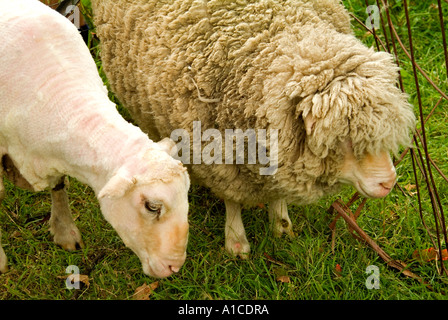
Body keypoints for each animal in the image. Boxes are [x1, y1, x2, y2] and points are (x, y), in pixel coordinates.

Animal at [91, 0, 416, 258]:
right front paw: (236, 242)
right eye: (342, 139)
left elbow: (276, 194)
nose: (389, 183)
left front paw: (281, 226)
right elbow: (233, 201)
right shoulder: (219, 160)